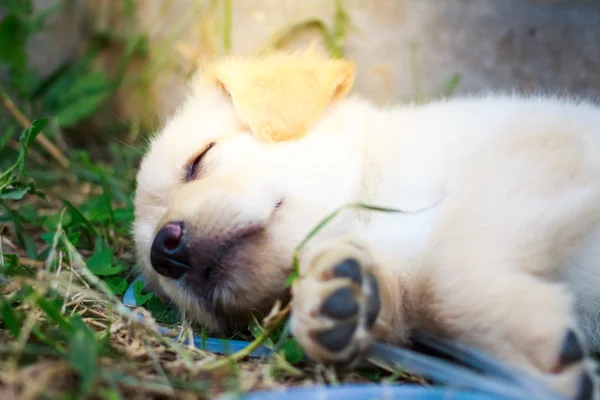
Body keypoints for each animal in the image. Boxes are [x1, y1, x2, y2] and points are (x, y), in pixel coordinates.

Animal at [135, 48, 600, 398]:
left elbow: (446, 265)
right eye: (157, 280)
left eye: (199, 159)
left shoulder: (531, 156)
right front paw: (342, 299)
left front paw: (534, 359)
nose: (164, 251)